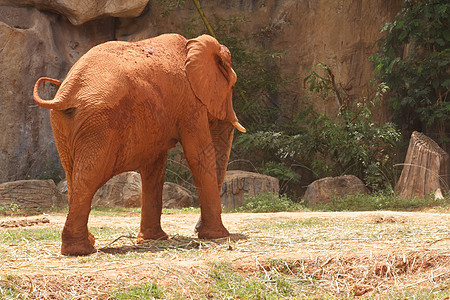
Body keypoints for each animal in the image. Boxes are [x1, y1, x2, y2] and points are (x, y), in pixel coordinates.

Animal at [32, 33, 246, 255]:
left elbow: (154, 165)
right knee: (88, 176)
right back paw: (81, 250)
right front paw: (219, 236)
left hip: (64, 123)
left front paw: (153, 239)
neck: (192, 44)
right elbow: (198, 155)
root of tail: (66, 93)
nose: (196, 228)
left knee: (72, 174)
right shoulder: (189, 103)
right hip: (99, 123)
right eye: (232, 84)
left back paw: (85, 245)